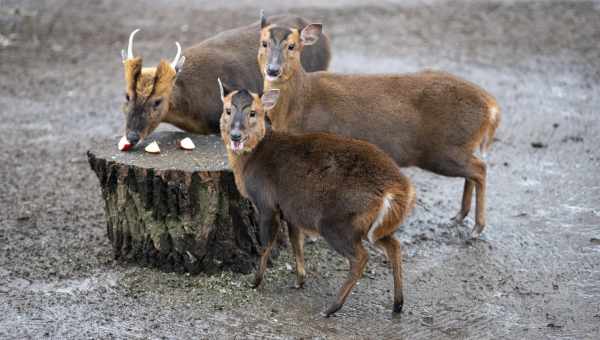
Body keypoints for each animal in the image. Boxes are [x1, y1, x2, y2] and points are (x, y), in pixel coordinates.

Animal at [217, 80, 418, 316]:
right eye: (227, 110)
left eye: (253, 113)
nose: (235, 135)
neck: (250, 161)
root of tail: (399, 189)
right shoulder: (291, 210)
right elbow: (296, 243)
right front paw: (300, 281)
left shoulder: (266, 202)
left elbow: (266, 244)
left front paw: (255, 282)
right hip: (371, 226)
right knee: (394, 246)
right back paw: (397, 304)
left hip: (337, 221)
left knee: (361, 257)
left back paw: (331, 308)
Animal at [258, 23, 502, 239]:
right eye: (264, 43)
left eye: (292, 46)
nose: (273, 70)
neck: (298, 103)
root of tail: (491, 107)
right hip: (456, 148)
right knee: (473, 171)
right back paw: (460, 216)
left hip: (445, 149)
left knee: (480, 169)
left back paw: (477, 227)